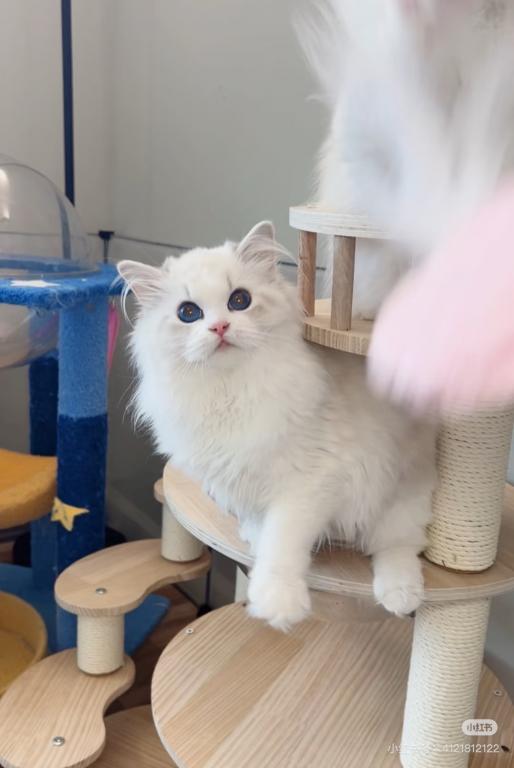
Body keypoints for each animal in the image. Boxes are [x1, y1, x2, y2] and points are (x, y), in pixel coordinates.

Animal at [118, 221, 436, 631]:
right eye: (188, 312)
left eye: (239, 300)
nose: (219, 327)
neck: (229, 391)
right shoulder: (240, 481)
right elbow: (260, 526)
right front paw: (253, 541)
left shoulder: (306, 483)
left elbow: (281, 542)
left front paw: (276, 603)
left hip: (400, 499)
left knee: (398, 549)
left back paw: (399, 596)